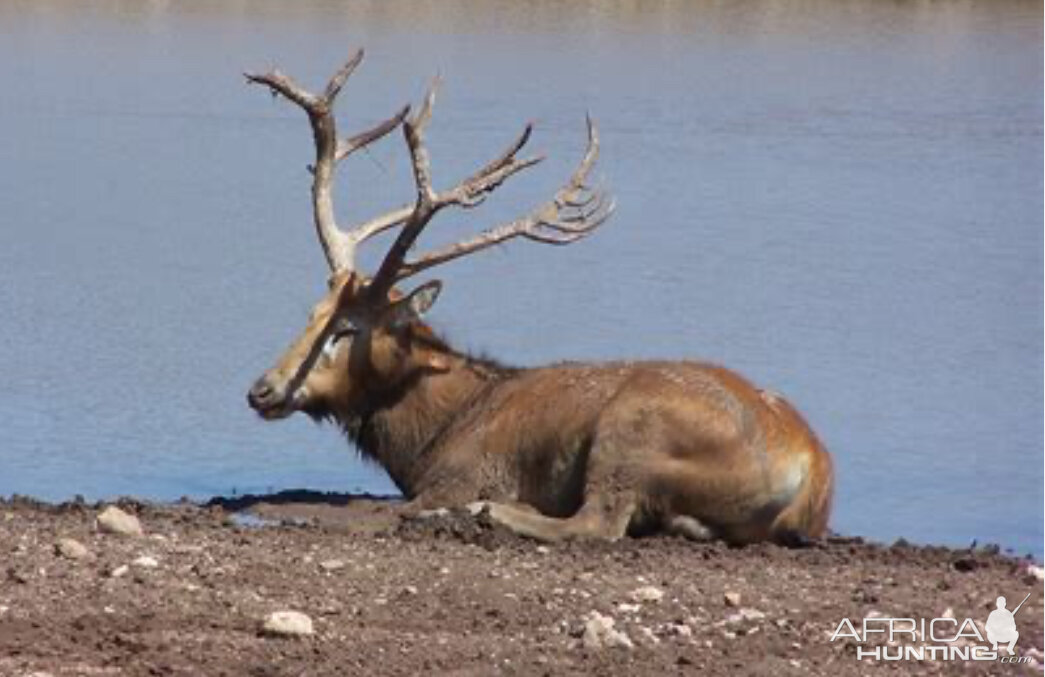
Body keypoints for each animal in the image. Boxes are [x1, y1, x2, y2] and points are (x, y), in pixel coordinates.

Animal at [244, 51, 831, 543]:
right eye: (312, 313)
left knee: (598, 523)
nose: (261, 390)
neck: (426, 436)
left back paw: (491, 512)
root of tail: (810, 472)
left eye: (346, 330)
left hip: (632, 430)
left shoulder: (463, 473)